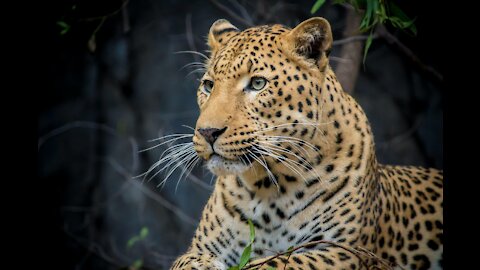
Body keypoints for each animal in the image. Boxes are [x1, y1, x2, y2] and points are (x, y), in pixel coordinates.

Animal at [170, 17, 442, 270]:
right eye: (208, 85)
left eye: (258, 83)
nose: (207, 132)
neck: (268, 189)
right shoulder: (199, 249)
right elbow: (185, 262)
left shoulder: (344, 252)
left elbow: (277, 262)